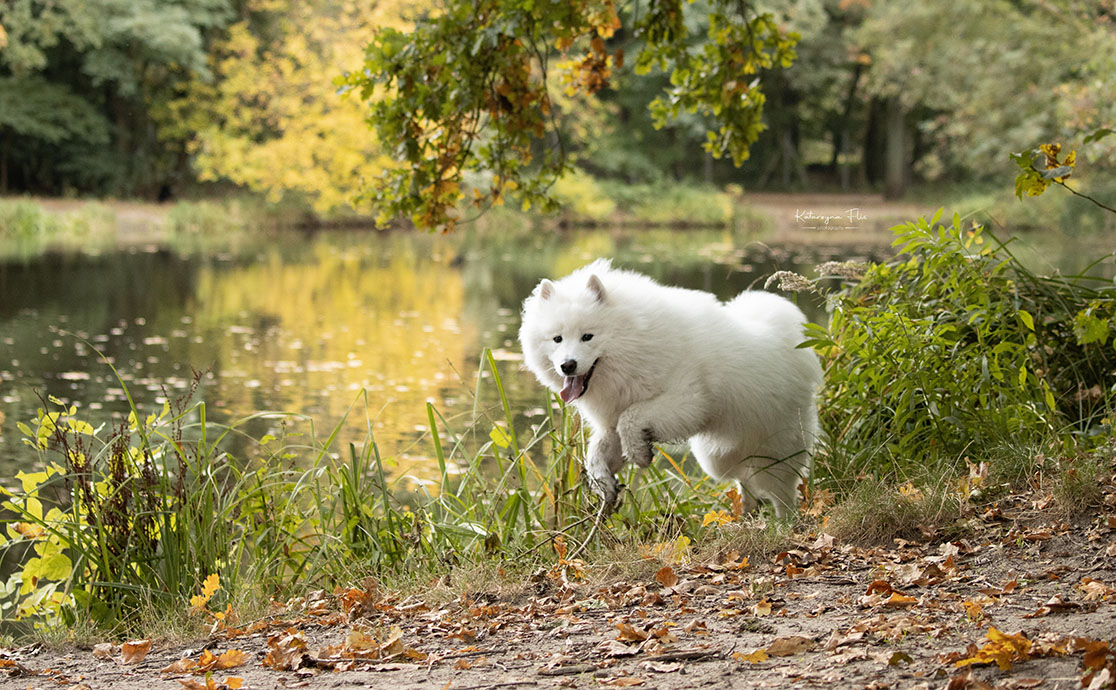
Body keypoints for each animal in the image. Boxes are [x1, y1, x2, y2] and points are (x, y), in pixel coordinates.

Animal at [517, 259, 825, 515]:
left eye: (587, 337)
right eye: (557, 339)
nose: (567, 365)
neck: (637, 341)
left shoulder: (687, 402)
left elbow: (631, 418)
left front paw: (638, 454)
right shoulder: (611, 419)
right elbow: (596, 453)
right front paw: (604, 481)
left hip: (776, 455)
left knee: (782, 494)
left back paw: (784, 525)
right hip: (719, 457)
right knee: (744, 482)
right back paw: (747, 518)